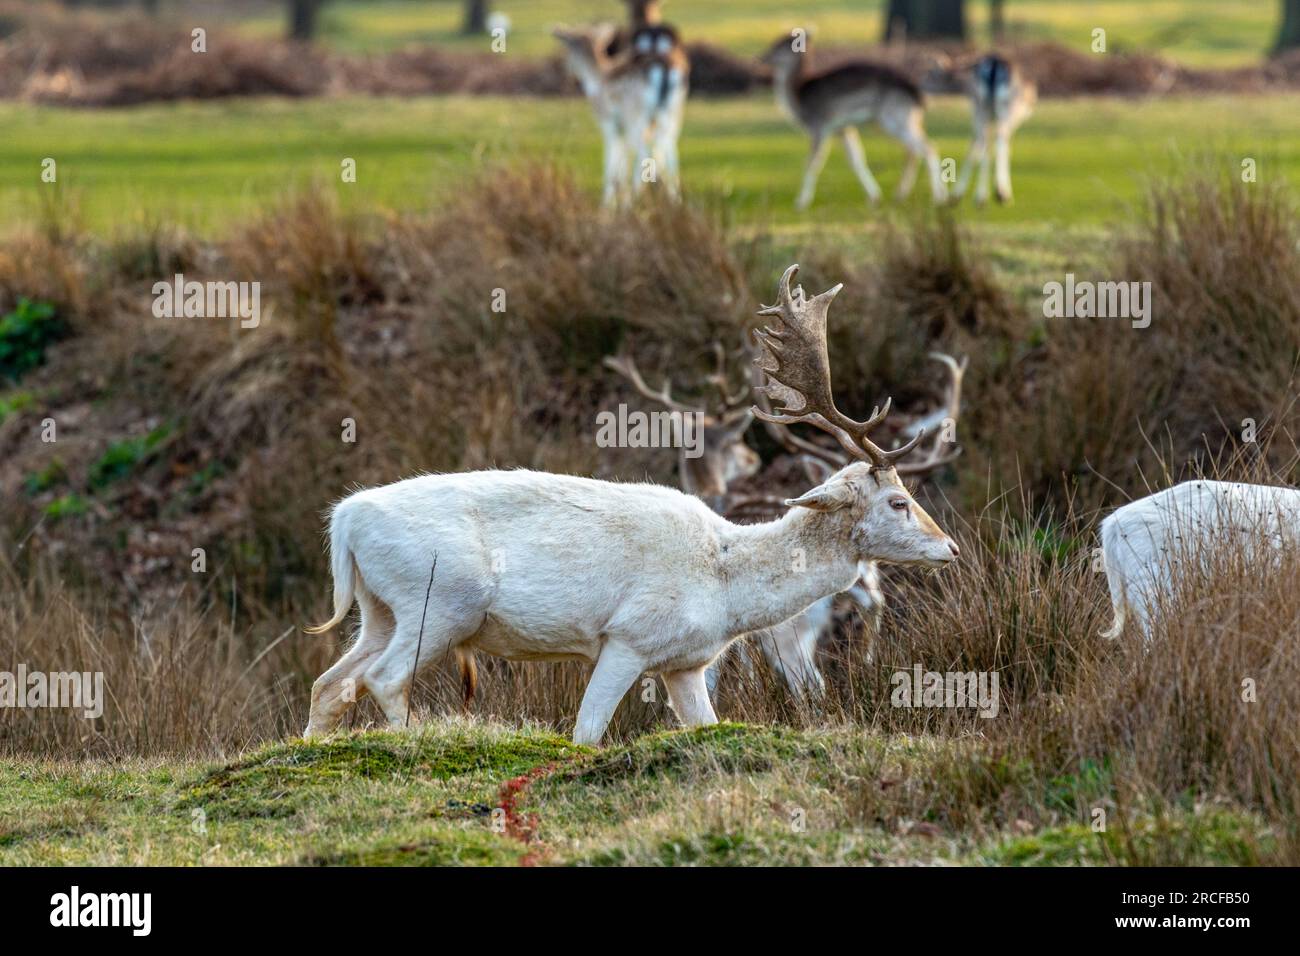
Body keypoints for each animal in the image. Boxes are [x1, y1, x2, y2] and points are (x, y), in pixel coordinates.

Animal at [301, 264, 956, 749]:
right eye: (898, 501)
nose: (950, 547)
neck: (725, 585)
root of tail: (344, 521)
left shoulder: (686, 663)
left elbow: (704, 725)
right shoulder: (628, 638)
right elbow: (586, 735)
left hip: (379, 610)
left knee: (330, 683)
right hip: (439, 604)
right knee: (383, 679)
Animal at [759, 30, 951, 210]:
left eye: (781, 45)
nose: (762, 57)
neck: (799, 98)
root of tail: (918, 94)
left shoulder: (819, 125)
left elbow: (812, 163)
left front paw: (801, 202)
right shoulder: (843, 128)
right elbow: (856, 159)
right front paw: (874, 197)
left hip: (894, 117)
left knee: (928, 147)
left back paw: (937, 198)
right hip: (902, 120)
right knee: (914, 150)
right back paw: (918, 195)